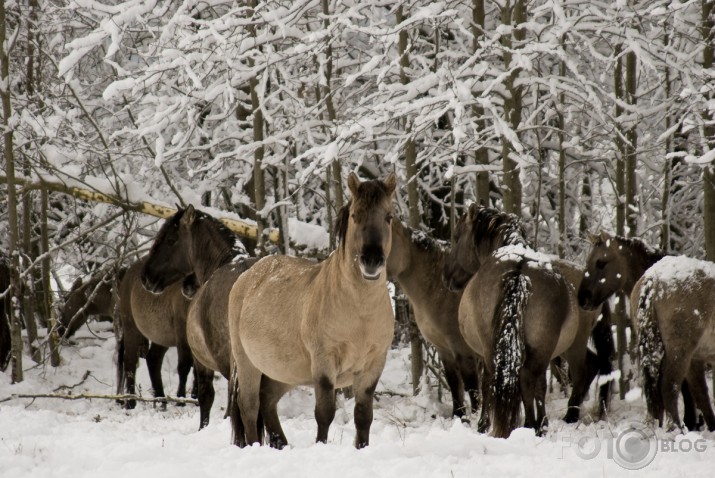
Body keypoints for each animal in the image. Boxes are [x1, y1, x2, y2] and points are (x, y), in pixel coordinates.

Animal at [114, 260, 194, 408]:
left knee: (153, 359)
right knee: (130, 362)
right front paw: (181, 400)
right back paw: (131, 402)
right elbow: (184, 366)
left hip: (160, 337)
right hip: (131, 329)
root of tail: (127, 273)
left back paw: (161, 400)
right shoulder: (183, 334)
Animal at [228, 172, 398, 448]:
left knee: (267, 401)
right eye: (355, 215)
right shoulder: (324, 361)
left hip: (283, 372)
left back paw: (282, 443)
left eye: (388, 216)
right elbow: (325, 413)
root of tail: (247, 277)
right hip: (247, 363)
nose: (371, 260)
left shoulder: (373, 365)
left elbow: (363, 416)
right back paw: (255, 445)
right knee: (250, 407)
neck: (359, 315)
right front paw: (321, 446)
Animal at [442, 204, 580, 438]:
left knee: (500, 380)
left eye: (456, 236)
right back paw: (537, 425)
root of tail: (519, 270)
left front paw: (483, 424)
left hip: (492, 348)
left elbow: (486, 384)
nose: (447, 276)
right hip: (541, 348)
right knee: (533, 382)